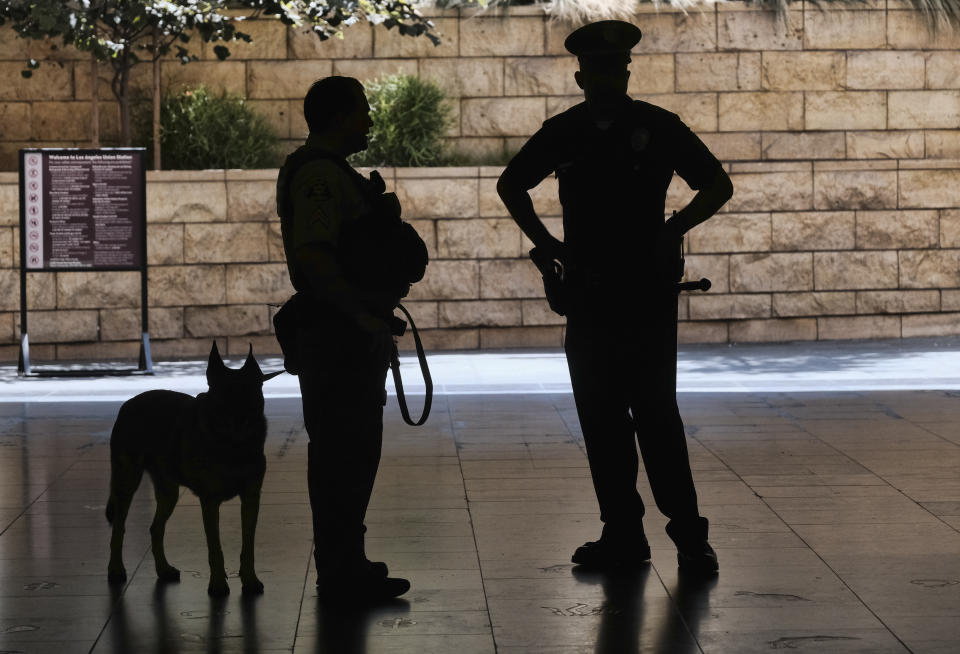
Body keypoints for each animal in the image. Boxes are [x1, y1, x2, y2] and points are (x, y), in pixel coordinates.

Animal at [108, 346, 284, 596]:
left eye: (249, 396)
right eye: (224, 398)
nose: (239, 421)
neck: (233, 447)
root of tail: (127, 404)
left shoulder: (251, 498)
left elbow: (248, 545)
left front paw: (249, 579)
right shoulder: (210, 502)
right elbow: (215, 548)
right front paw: (218, 583)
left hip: (168, 492)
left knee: (155, 528)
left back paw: (163, 569)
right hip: (127, 481)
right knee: (119, 527)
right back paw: (115, 569)